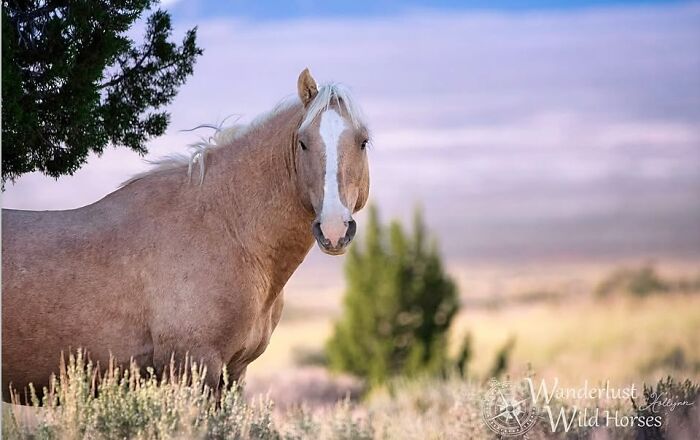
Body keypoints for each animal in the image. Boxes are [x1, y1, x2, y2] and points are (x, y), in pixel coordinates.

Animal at [2, 68, 371, 402]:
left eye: (363, 142)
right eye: (303, 143)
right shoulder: (193, 366)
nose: (334, 229)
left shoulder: (233, 373)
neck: (227, 228)